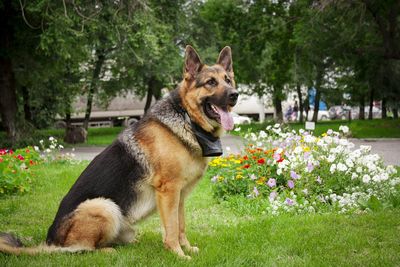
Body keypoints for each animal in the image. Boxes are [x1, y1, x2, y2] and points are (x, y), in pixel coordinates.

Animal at [0, 46, 238, 260]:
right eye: (210, 82)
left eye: (228, 80)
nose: (235, 95)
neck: (187, 119)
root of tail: (50, 242)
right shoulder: (169, 191)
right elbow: (171, 228)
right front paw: (178, 255)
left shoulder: (179, 195)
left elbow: (180, 225)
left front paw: (186, 248)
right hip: (104, 206)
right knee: (81, 249)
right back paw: (105, 251)